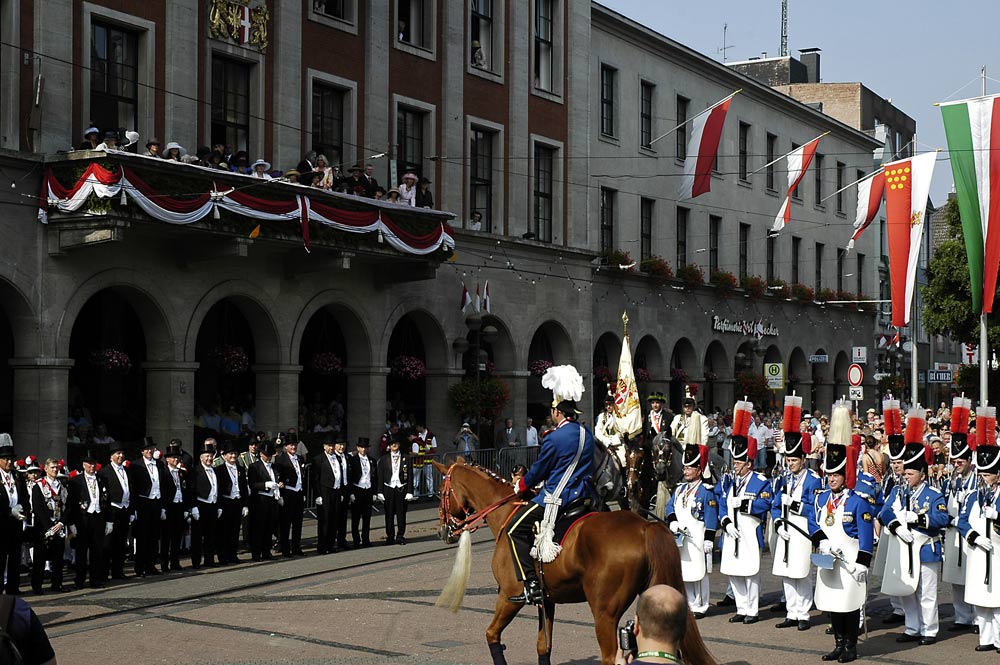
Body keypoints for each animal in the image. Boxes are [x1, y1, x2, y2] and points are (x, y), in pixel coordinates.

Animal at [434, 456, 716, 664]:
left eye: (440, 491)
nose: (443, 531)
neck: (506, 514)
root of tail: (644, 526)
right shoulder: (546, 601)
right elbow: (543, 647)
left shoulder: (508, 596)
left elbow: (492, 635)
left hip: (604, 613)